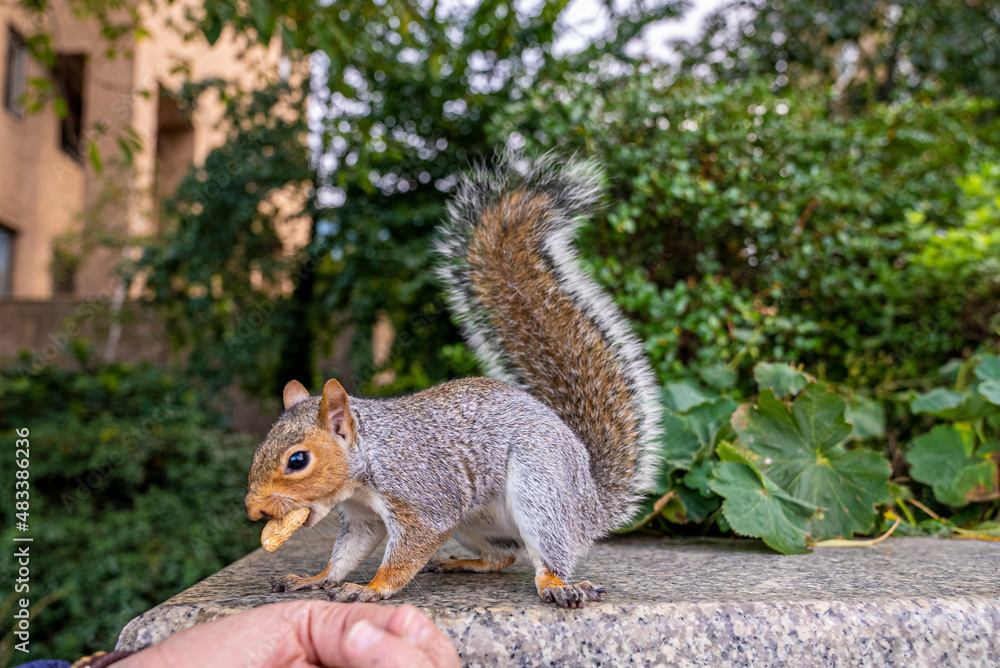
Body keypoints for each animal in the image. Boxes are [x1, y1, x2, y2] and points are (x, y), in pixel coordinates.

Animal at [244, 151, 661, 608]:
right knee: (503, 556)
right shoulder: (362, 516)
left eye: (297, 460)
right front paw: (316, 578)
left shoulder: (424, 496)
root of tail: (590, 503)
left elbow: (407, 551)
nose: (253, 510)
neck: (367, 465)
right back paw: (464, 563)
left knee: (549, 550)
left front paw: (370, 588)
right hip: (476, 521)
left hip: (540, 488)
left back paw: (557, 583)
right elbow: (347, 553)